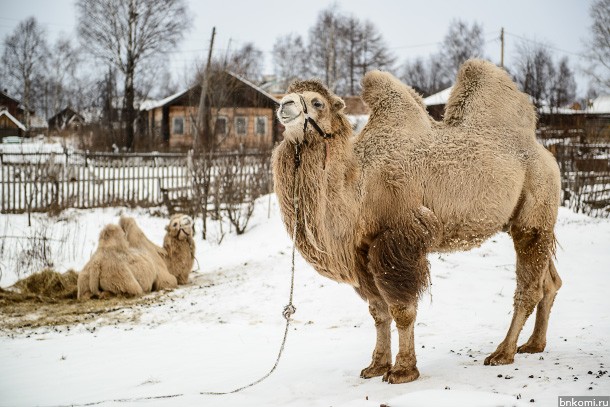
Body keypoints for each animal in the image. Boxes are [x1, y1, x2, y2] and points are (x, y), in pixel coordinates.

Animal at [272, 59, 560, 384]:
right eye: (288, 95)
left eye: (317, 102)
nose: (285, 105)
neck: (360, 184)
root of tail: (545, 152)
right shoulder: (363, 248)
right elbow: (378, 311)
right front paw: (376, 365)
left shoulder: (399, 238)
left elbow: (402, 309)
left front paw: (402, 370)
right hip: (523, 219)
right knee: (549, 281)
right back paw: (534, 344)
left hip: (536, 205)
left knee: (529, 285)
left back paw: (503, 352)